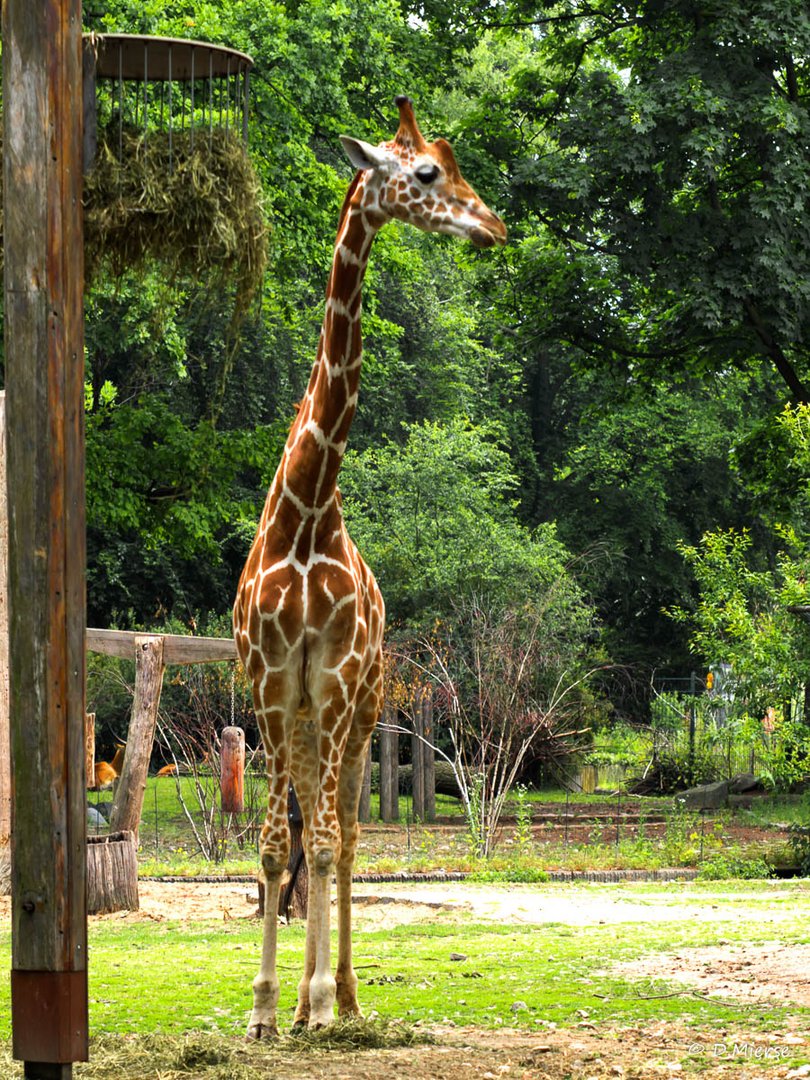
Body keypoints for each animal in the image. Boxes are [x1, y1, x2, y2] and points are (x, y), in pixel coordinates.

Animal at [231, 95, 505, 1036]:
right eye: (425, 172)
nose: (492, 225)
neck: (308, 514)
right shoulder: (273, 684)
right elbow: (275, 845)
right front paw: (264, 1011)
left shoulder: (336, 681)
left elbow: (326, 841)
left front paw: (315, 1001)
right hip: (311, 719)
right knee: (312, 834)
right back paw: (305, 1001)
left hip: (357, 712)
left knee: (345, 836)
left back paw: (340, 997)